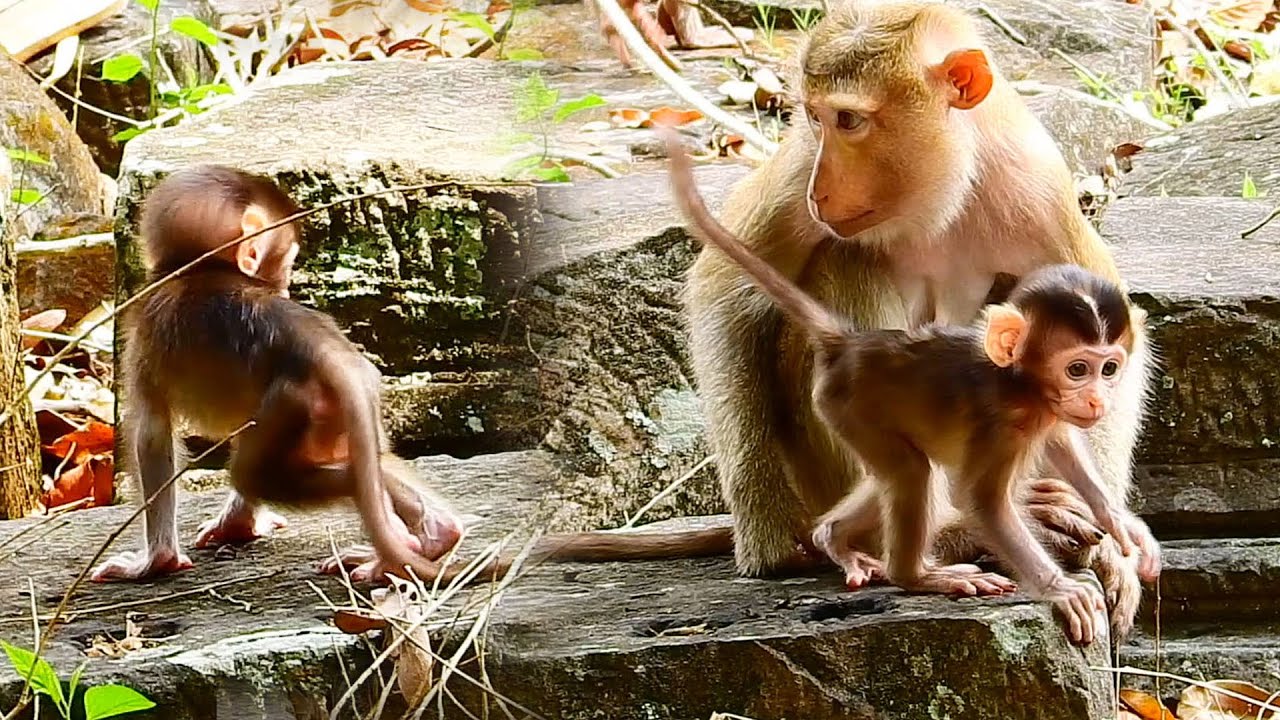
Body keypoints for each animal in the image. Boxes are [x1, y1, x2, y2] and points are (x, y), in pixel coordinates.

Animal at [91, 165, 469, 585]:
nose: (284, 285)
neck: (197, 268)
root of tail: (324, 349)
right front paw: (236, 526)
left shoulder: (141, 336)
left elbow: (152, 433)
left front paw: (157, 560)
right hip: (339, 411)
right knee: (367, 460)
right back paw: (433, 534)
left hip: (296, 405)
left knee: (257, 475)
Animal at [679, 0, 1156, 639]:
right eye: (815, 118)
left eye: (849, 120)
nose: (820, 194)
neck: (948, 183)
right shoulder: (799, 163)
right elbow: (724, 290)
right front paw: (767, 535)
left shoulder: (1036, 187)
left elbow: (1116, 328)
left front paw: (1111, 543)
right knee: (849, 262)